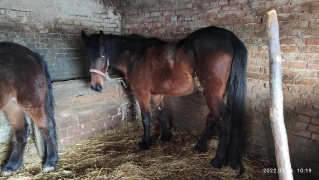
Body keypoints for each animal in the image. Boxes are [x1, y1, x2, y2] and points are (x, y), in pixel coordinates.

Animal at [0, 41, 58, 174]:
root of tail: (32, 54)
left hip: (31, 102)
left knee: (47, 126)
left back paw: (50, 162)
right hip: (12, 105)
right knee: (21, 130)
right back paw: (12, 165)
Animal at [82, 26, 248, 175]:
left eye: (102, 55)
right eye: (87, 56)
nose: (96, 87)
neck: (136, 56)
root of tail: (229, 37)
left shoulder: (142, 93)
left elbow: (146, 118)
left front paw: (146, 142)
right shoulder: (157, 94)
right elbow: (161, 113)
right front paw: (165, 136)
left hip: (211, 93)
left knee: (223, 119)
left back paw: (218, 160)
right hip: (217, 94)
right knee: (211, 119)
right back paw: (200, 146)